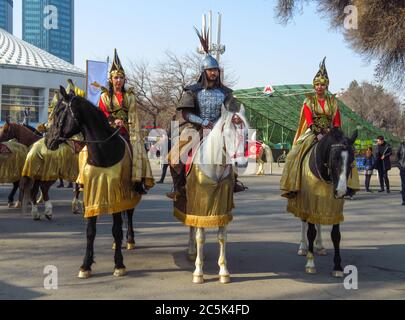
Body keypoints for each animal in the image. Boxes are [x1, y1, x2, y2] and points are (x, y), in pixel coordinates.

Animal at [45, 86, 138, 278]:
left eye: (58, 112)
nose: (47, 140)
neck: (103, 153)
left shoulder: (116, 194)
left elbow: (116, 230)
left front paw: (119, 264)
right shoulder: (92, 194)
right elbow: (90, 231)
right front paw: (86, 265)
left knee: (130, 213)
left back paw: (130, 240)